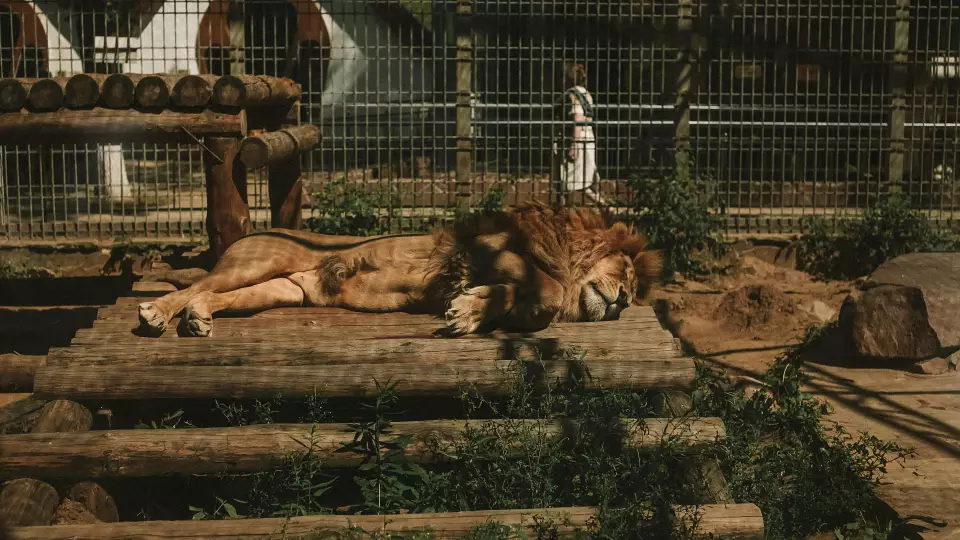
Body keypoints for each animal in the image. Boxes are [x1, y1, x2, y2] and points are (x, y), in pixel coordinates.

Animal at [137, 201, 662, 338]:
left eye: (633, 291)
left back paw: (199, 317)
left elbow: (536, 305)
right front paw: (469, 309)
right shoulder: (483, 248)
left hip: (281, 290)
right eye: (626, 273)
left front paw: (470, 310)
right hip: (257, 263)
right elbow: (549, 288)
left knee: (209, 295)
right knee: (192, 286)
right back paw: (157, 313)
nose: (622, 302)